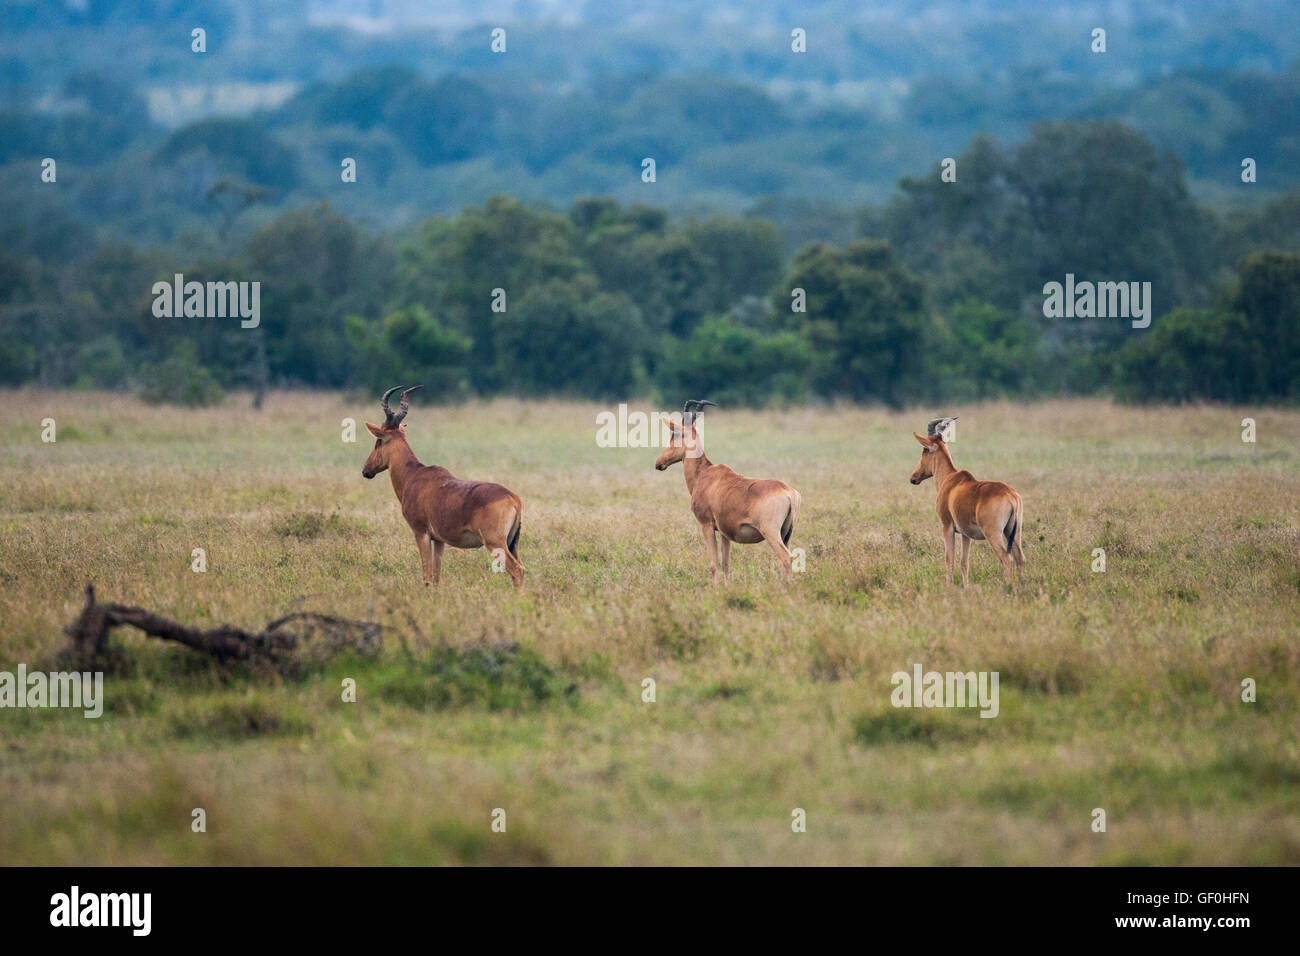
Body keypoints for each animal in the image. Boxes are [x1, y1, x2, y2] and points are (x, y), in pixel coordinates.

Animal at [361, 385, 522, 587]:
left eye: (379, 440)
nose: (366, 471)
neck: (415, 475)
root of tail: (513, 499)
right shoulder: (439, 540)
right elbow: (436, 576)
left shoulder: (420, 532)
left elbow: (427, 575)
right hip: (512, 542)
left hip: (495, 543)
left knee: (516, 570)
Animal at [650, 398, 800, 580]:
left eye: (676, 434)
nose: (659, 463)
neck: (705, 474)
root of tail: (789, 493)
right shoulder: (724, 531)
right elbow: (726, 564)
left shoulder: (706, 524)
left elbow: (714, 564)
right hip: (787, 533)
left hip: (770, 531)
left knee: (786, 558)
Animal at [915, 416, 1024, 587]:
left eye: (924, 450)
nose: (913, 478)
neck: (951, 480)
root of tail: (1011, 495)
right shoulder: (966, 533)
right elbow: (964, 562)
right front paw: (966, 586)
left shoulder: (947, 526)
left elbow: (949, 559)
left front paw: (949, 586)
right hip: (1014, 530)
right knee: (1020, 559)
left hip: (993, 533)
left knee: (1006, 559)